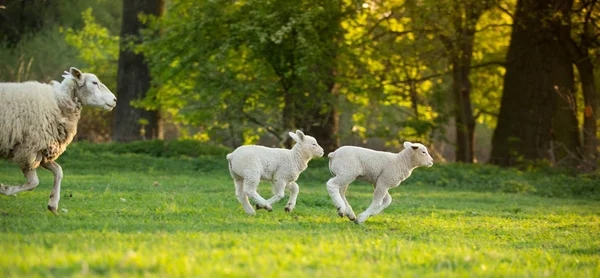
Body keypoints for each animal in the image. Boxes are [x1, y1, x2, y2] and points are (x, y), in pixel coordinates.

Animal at [0, 67, 116, 213]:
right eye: (94, 82)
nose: (115, 99)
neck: (58, 103)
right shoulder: (28, 150)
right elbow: (34, 183)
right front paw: (5, 189)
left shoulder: (43, 151)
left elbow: (59, 171)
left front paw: (53, 204)